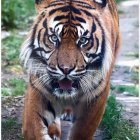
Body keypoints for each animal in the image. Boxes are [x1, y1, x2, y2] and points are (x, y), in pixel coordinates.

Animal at [19, 0, 120, 139]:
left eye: (83, 40)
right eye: (54, 38)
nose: (66, 69)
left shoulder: (97, 95)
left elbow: (82, 132)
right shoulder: (38, 89)